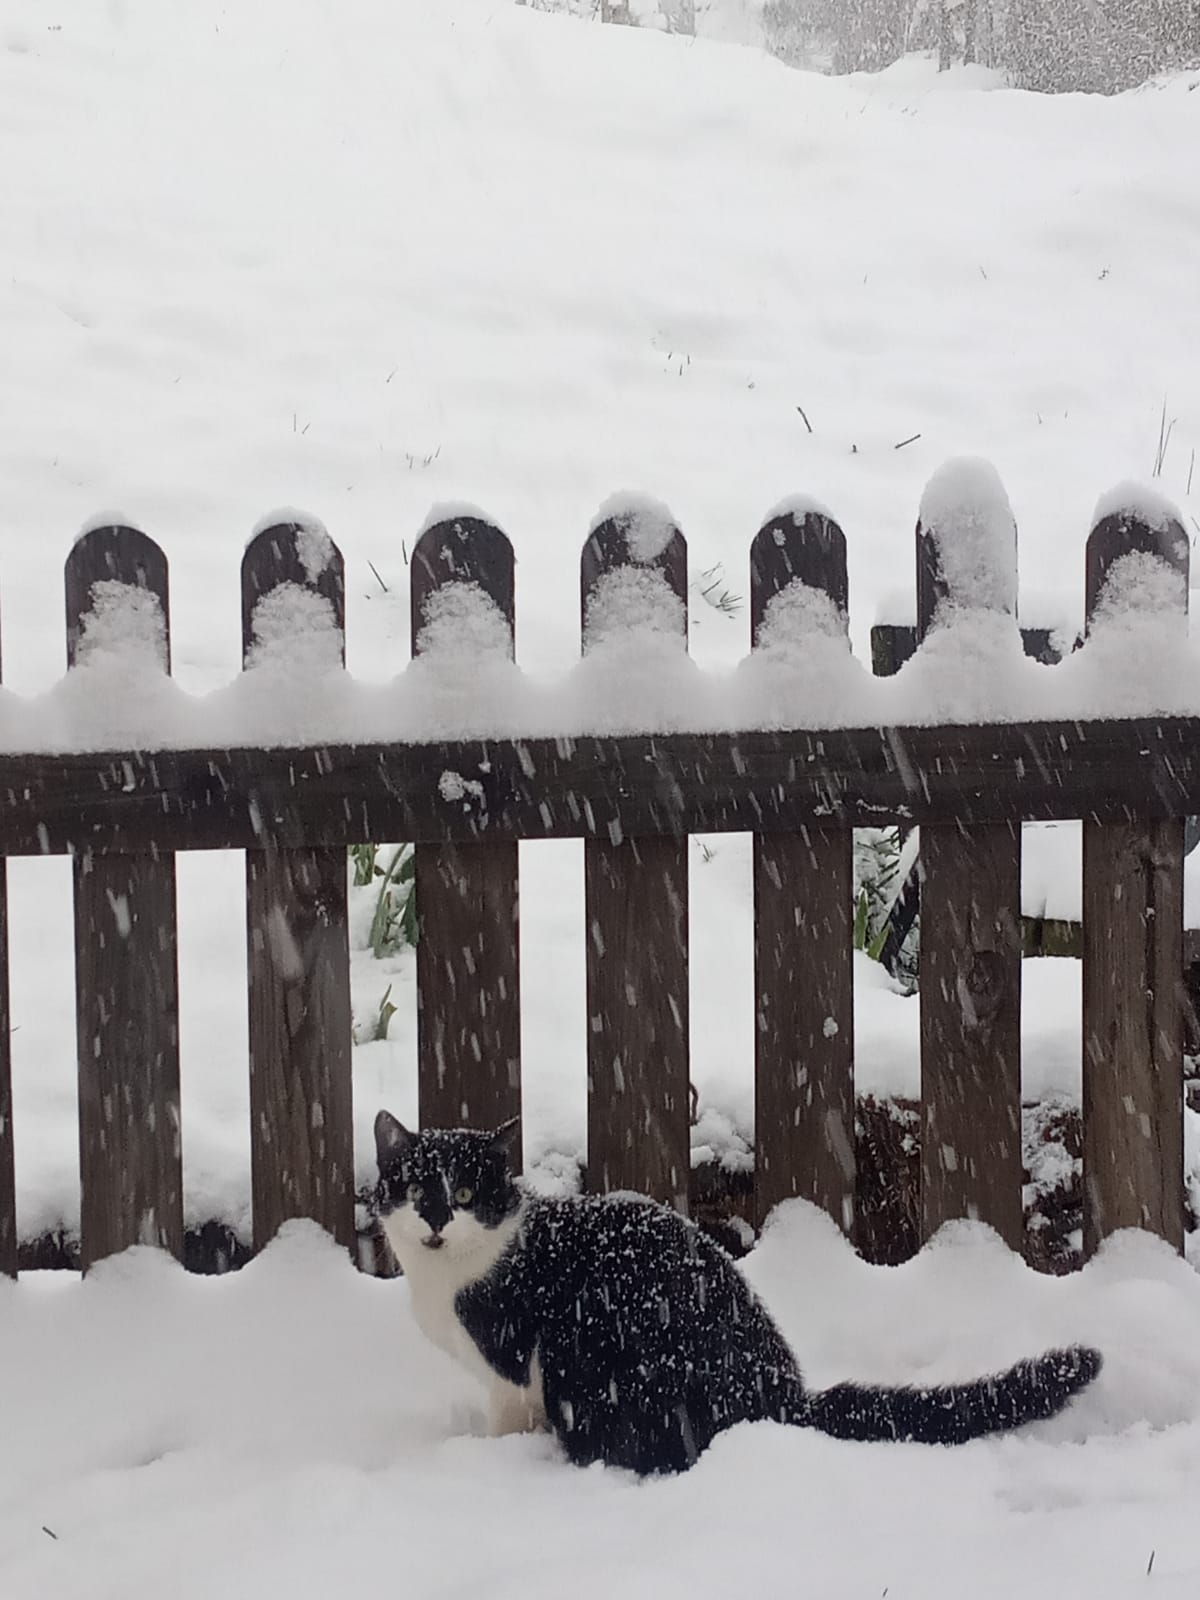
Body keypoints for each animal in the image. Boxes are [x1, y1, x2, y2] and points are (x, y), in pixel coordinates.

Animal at [374, 1113, 1100, 1472]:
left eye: (467, 1192)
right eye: (414, 1189)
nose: (437, 1220)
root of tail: (782, 1398)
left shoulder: (508, 1364)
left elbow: (506, 1417)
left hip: (598, 1368)